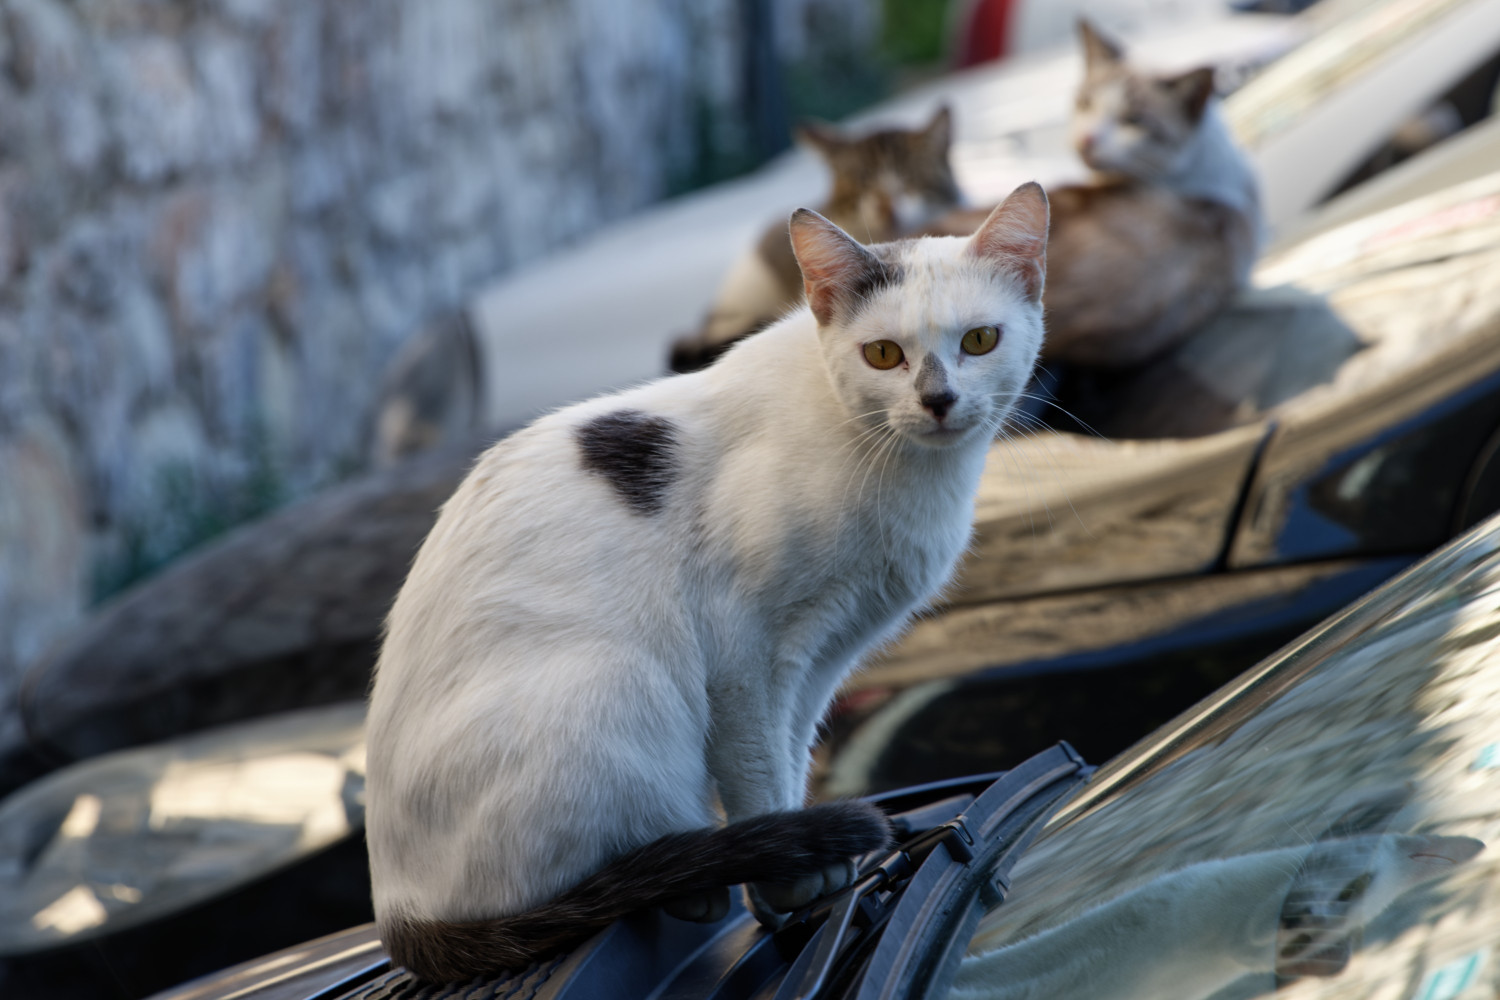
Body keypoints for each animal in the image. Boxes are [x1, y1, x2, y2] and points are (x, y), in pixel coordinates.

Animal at [363, 179, 1050, 977]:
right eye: (883, 354)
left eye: (980, 341)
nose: (938, 401)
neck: (896, 466)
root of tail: (397, 912)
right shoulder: (741, 652)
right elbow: (755, 767)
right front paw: (792, 877)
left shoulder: (819, 657)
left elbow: (789, 757)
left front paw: (805, 859)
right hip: (620, 687)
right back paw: (691, 880)